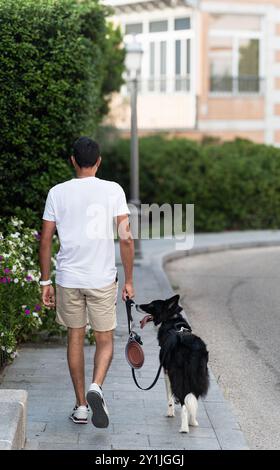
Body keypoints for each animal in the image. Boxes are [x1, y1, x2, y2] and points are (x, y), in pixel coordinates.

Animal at [137, 294, 209, 434]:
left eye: (151, 305)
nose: (136, 305)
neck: (171, 319)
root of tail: (193, 348)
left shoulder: (166, 370)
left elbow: (169, 395)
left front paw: (170, 413)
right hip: (198, 377)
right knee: (193, 397)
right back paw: (193, 422)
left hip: (179, 376)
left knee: (184, 402)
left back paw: (184, 428)